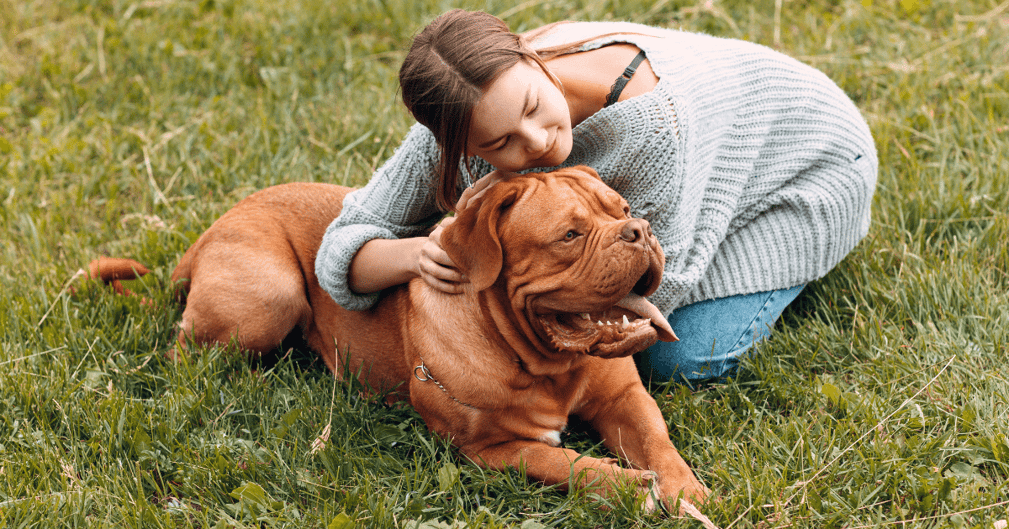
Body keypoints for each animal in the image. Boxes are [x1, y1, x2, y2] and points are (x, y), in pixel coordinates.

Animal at [92, 166, 710, 512]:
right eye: (570, 235)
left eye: (625, 209)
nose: (641, 231)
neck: (542, 362)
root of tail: (209, 232)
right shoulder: (490, 449)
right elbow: (567, 463)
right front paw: (626, 486)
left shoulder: (624, 399)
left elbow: (658, 442)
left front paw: (685, 491)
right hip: (271, 296)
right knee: (184, 353)